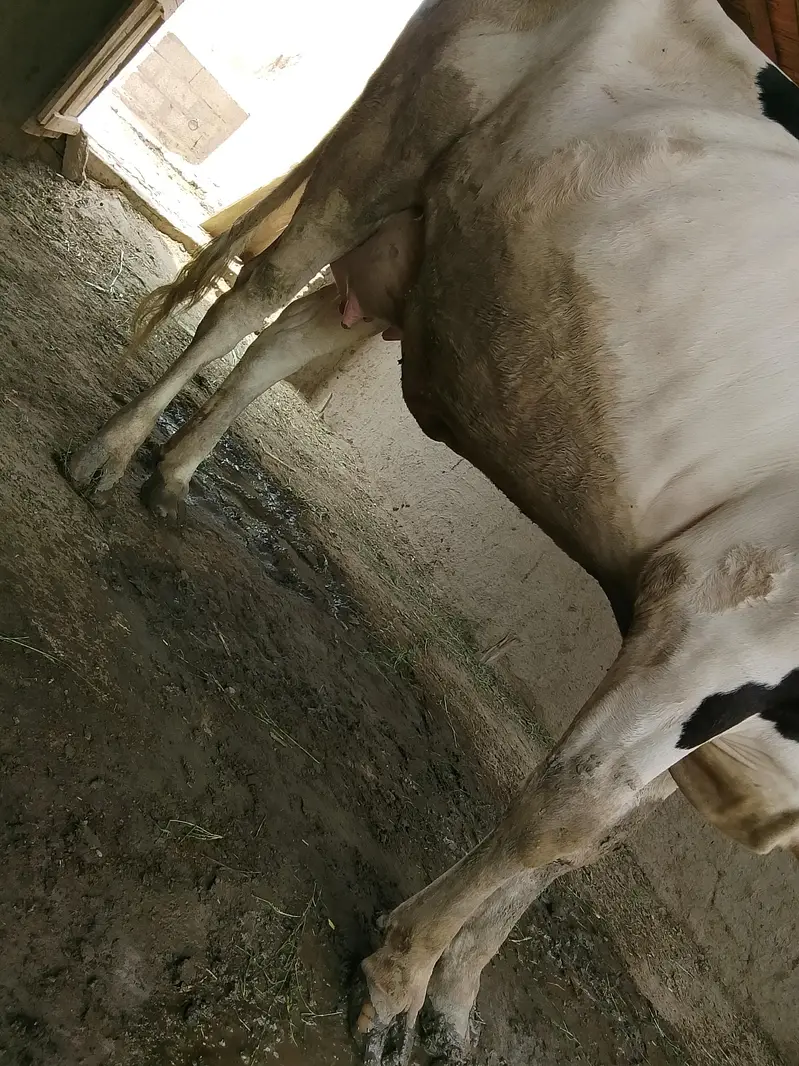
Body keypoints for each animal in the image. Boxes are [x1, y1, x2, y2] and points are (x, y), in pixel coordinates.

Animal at [66, 0, 799, 1062]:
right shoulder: (719, 614)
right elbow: (557, 822)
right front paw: (397, 981)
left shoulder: (731, 702)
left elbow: (585, 845)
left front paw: (454, 1000)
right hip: (385, 153)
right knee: (250, 298)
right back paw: (109, 453)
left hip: (427, 244)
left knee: (288, 334)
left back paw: (172, 477)